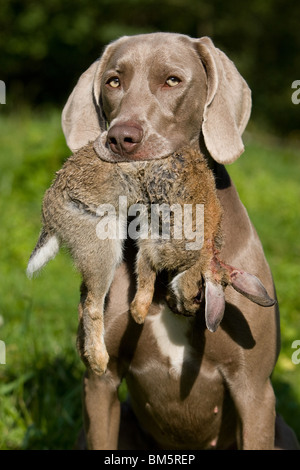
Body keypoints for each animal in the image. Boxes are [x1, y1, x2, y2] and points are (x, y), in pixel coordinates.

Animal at [27, 143, 274, 374]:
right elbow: (147, 270)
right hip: (103, 243)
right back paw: (99, 362)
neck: (203, 256)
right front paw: (138, 314)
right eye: (198, 296)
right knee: (92, 305)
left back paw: (86, 355)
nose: (182, 311)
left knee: (83, 298)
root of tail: (51, 218)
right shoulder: (160, 245)